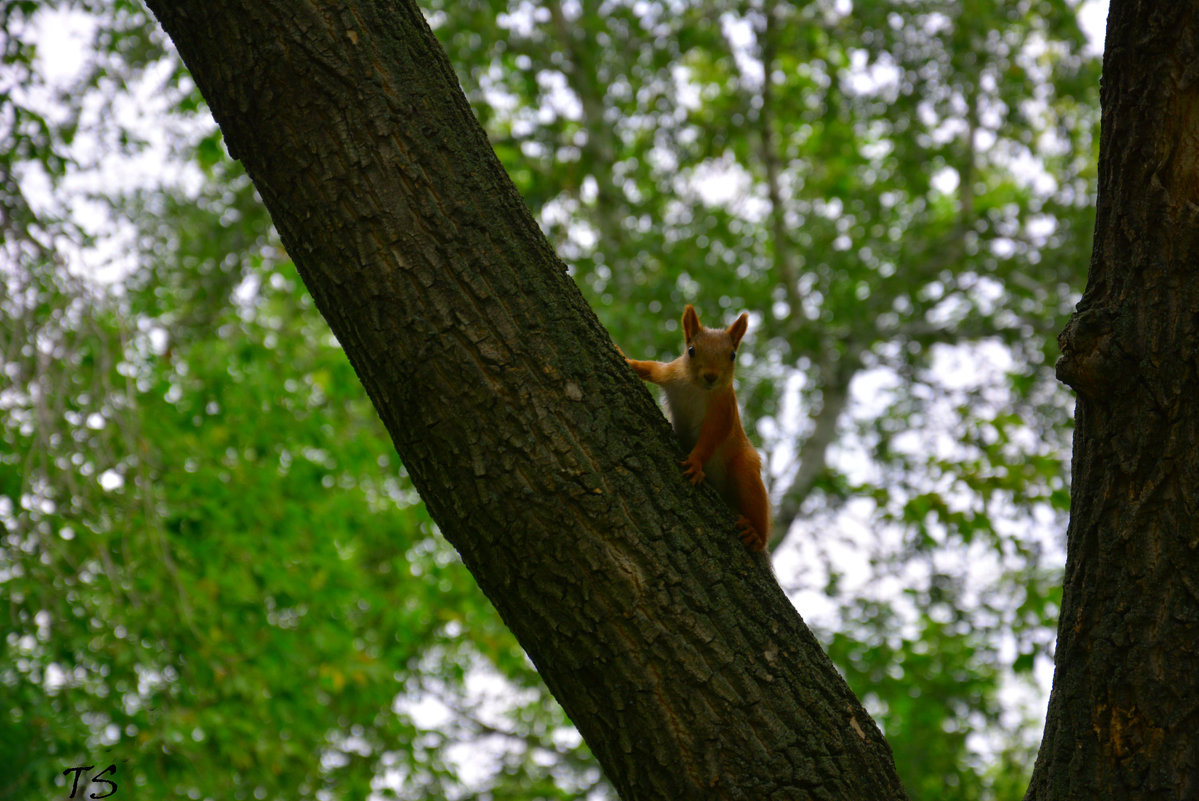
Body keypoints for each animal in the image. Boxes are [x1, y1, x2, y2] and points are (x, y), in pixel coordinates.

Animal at [628, 302, 767, 551]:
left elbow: (712, 437)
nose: (711, 376)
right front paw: (625, 358)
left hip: (745, 467)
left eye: (732, 355)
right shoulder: (671, 373)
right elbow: (651, 368)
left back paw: (756, 534)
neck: (697, 389)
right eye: (691, 350)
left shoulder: (723, 410)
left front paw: (695, 462)